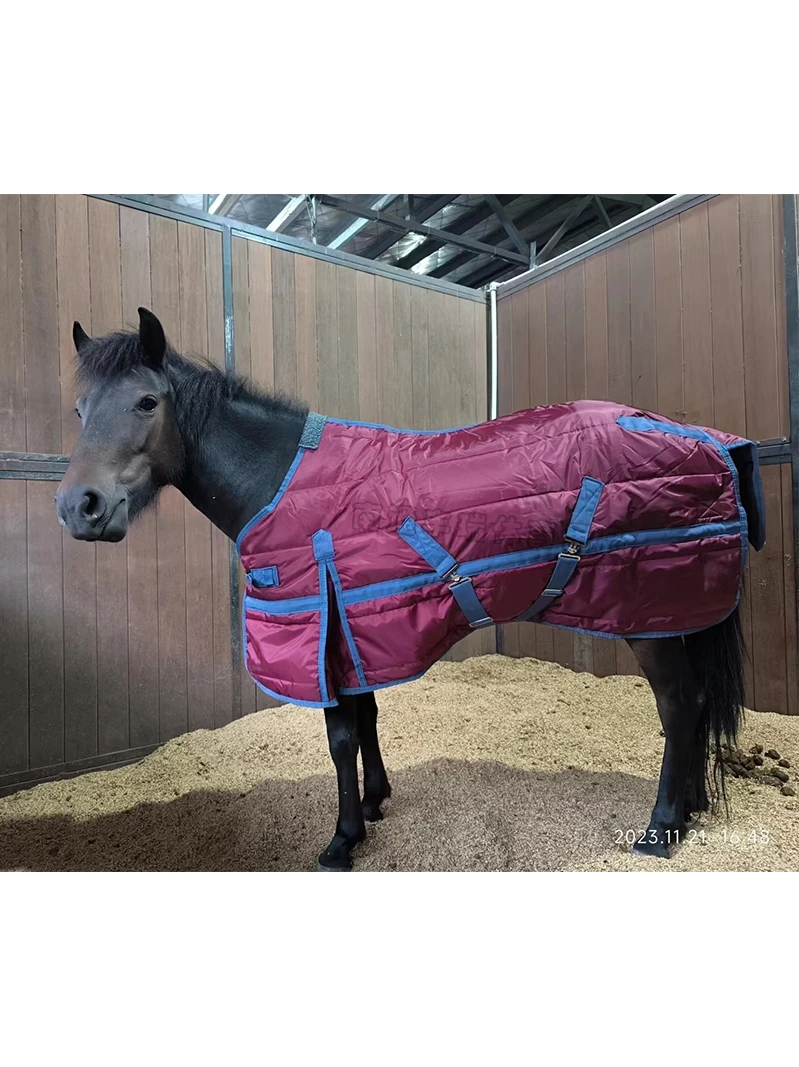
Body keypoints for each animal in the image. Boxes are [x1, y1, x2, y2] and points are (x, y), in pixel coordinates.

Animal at [55, 308, 761, 871]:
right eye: (80, 411)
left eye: (147, 402)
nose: (79, 507)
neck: (280, 481)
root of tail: (710, 440)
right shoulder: (355, 629)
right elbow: (366, 720)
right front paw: (374, 803)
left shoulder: (323, 633)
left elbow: (341, 738)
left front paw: (342, 840)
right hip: (678, 615)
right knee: (699, 704)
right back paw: (692, 807)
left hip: (653, 617)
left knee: (679, 706)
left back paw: (661, 827)